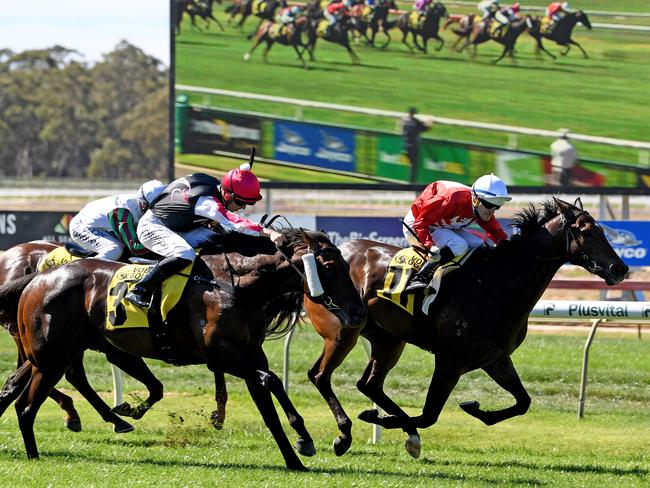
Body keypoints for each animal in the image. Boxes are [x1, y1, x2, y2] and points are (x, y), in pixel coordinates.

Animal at [302, 198, 624, 458]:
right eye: (586, 231)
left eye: (602, 230)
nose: (619, 269)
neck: (496, 286)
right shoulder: (450, 360)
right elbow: (429, 415)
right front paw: (384, 421)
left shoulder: (495, 359)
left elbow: (523, 402)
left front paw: (474, 408)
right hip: (343, 332)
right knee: (320, 375)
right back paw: (344, 435)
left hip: (389, 340)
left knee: (368, 384)